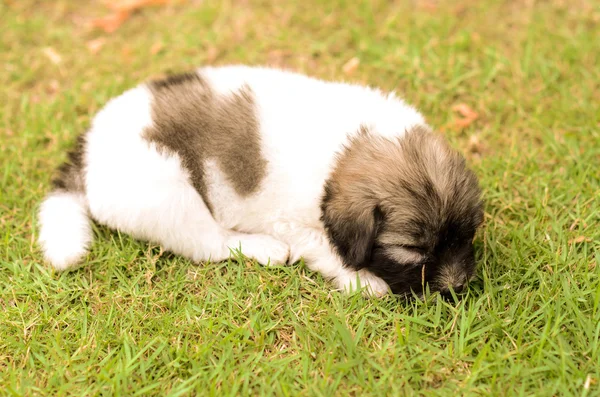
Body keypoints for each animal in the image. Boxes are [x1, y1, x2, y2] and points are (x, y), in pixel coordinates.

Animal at [37, 65, 486, 296]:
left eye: (467, 235)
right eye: (413, 249)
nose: (457, 287)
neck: (356, 143)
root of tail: (88, 151)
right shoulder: (294, 222)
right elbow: (325, 248)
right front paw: (364, 280)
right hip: (167, 193)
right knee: (209, 242)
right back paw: (262, 248)